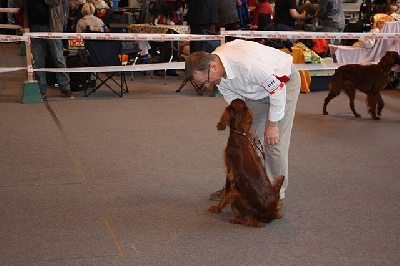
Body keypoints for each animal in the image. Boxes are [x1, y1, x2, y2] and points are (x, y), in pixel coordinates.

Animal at [209, 98, 284, 228]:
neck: (240, 133)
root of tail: (270, 213)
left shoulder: (230, 174)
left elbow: (225, 194)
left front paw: (217, 208)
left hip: (237, 196)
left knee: (253, 221)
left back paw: (236, 219)